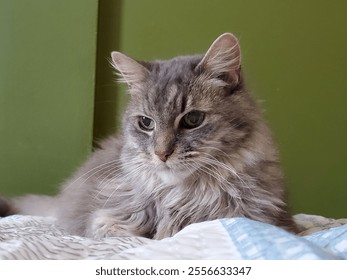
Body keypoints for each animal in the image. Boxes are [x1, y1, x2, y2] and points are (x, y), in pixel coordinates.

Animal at [0, 32, 300, 238]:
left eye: (192, 119)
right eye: (146, 123)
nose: (161, 153)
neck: (182, 196)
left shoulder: (267, 218)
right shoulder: (107, 218)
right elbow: (123, 229)